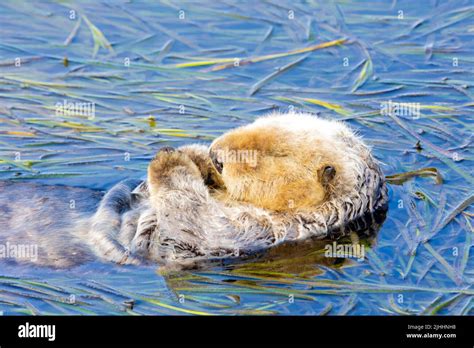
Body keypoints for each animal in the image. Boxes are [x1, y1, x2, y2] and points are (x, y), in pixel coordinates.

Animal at [0, 111, 388, 266]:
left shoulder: (261, 229)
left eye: (274, 153)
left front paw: (170, 160)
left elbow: (192, 226)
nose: (217, 154)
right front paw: (194, 155)